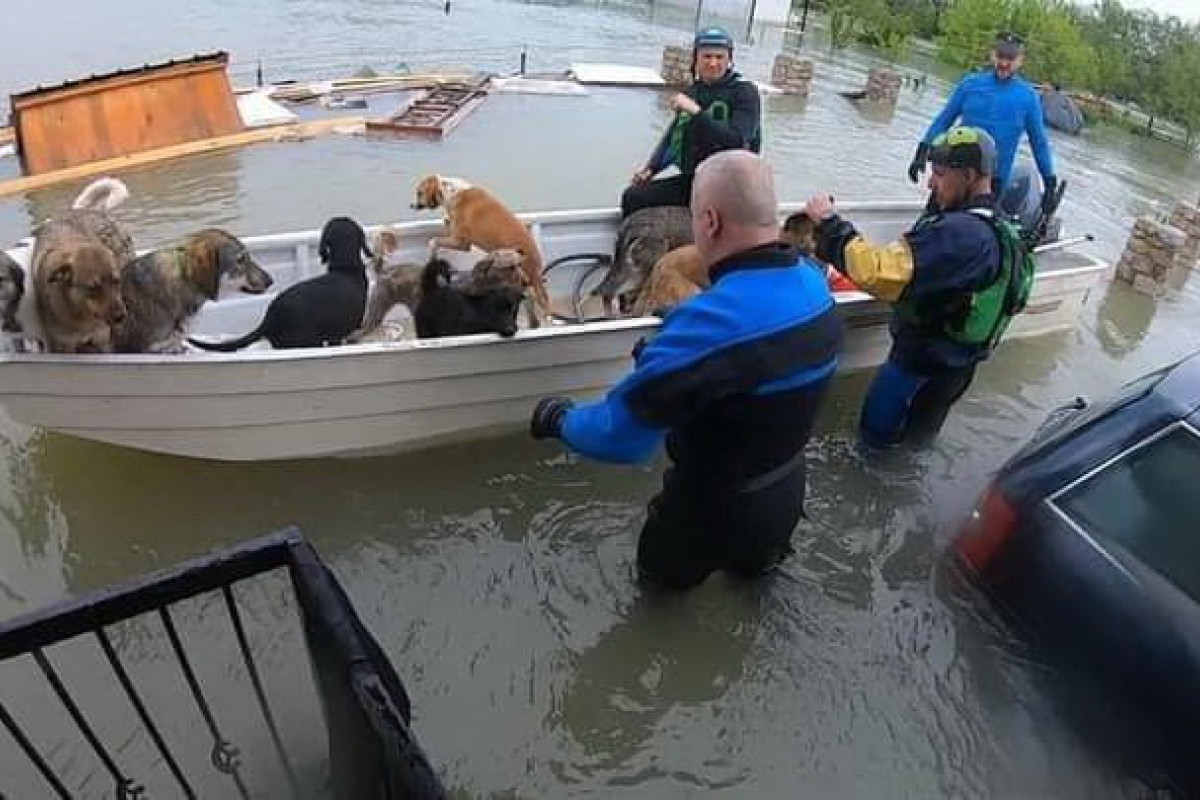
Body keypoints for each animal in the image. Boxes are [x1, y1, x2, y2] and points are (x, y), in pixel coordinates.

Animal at [30, 178, 136, 352]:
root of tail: (91, 209)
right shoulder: (63, 346)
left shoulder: (102, 339)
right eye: (92, 287)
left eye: (116, 281)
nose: (121, 316)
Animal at [408, 173, 549, 326]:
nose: (411, 205)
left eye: (419, 193)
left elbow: (433, 242)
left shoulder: (461, 243)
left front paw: (432, 252)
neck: (449, 190)